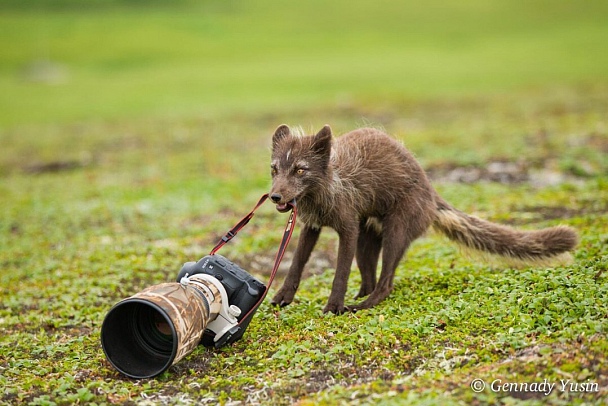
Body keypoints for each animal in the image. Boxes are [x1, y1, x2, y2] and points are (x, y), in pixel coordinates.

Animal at [268, 123, 576, 314]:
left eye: (300, 170)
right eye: (274, 169)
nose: (274, 196)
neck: (326, 190)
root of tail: (431, 191)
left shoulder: (349, 226)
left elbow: (340, 274)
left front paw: (333, 307)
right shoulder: (312, 225)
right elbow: (296, 264)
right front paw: (283, 297)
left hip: (396, 230)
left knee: (386, 284)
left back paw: (360, 306)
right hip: (368, 238)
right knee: (371, 277)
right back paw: (360, 297)